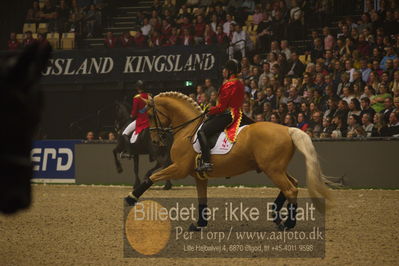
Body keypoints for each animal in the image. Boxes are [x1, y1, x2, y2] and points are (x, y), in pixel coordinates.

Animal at [126, 92, 332, 230]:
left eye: (150, 115)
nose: (155, 141)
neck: (188, 129)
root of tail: (288, 129)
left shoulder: (179, 168)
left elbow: (153, 177)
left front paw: (131, 197)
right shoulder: (199, 176)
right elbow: (202, 199)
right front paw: (200, 224)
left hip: (273, 170)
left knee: (291, 189)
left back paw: (288, 223)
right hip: (276, 168)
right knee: (293, 184)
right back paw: (276, 216)